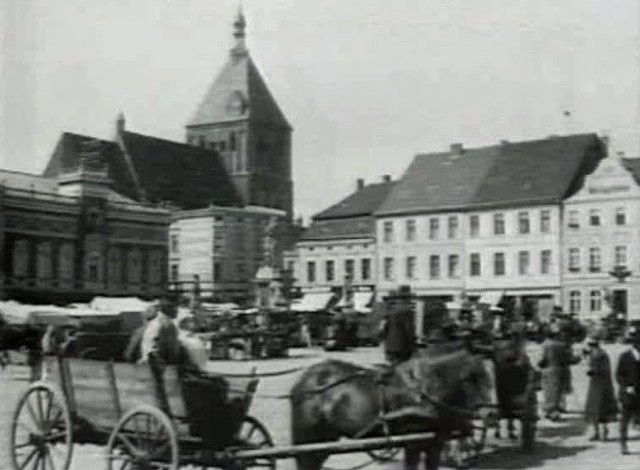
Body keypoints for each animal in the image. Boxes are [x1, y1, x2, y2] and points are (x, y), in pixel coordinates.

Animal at [290, 348, 496, 470]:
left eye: (491, 377)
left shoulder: (434, 444)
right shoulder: (413, 443)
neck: (424, 390)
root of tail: (303, 383)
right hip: (310, 440)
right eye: (472, 378)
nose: (491, 414)